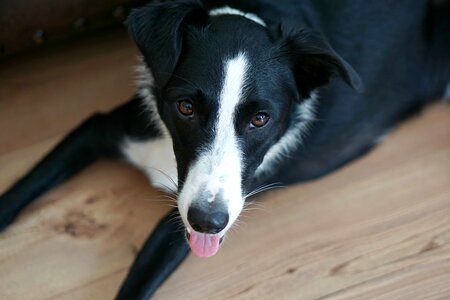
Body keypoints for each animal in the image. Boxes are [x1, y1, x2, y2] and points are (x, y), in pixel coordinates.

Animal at [0, 0, 450, 298]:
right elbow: (20, 191)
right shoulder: (98, 130)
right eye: (185, 107)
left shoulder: (183, 223)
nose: (208, 222)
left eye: (260, 119)